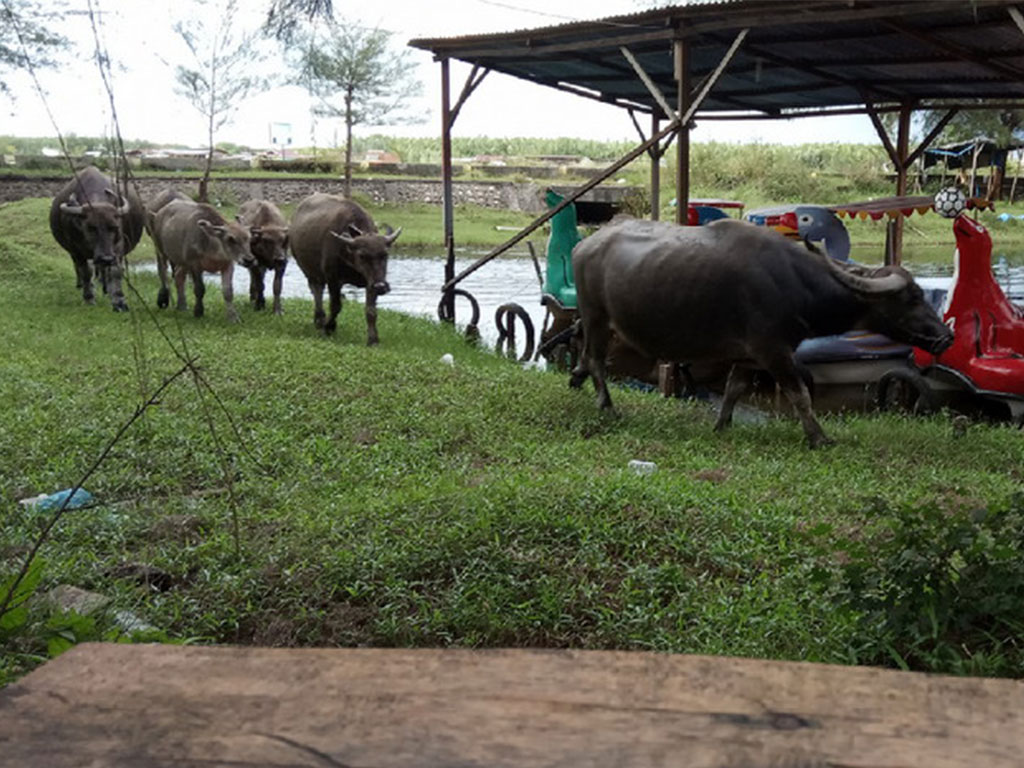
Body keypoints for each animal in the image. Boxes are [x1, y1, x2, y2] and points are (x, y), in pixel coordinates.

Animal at [49, 167, 145, 313]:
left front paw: (119, 301)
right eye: (91, 228)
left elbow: (116, 271)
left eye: (114, 227)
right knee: (80, 268)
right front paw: (89, 297)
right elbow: (86, 272)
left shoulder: (117, 247)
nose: (106, 258)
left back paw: (106, 289)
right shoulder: (76, 250)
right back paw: (81, 285)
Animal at [290, 193, 401, 348]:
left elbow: (371, 311)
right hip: (308, 270)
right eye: (362, 256)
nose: (381, 287)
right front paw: (329, 327)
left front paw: (373, 339)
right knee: (316, 290)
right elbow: (335, 305)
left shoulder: (371, 281)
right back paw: (319, 319)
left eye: (385, 254)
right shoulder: (333, 279)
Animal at [573, 217, 954, 448]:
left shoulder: (748, 356)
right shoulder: (774, 352)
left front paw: (722, 424)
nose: (946, 337)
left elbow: (733, 390)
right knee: (596, 360)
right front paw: (819, 437)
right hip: (596, 317)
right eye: (912, 298)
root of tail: (584, 246)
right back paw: (607, 406)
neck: (797, 285)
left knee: (587, 356)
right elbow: (800, 394)